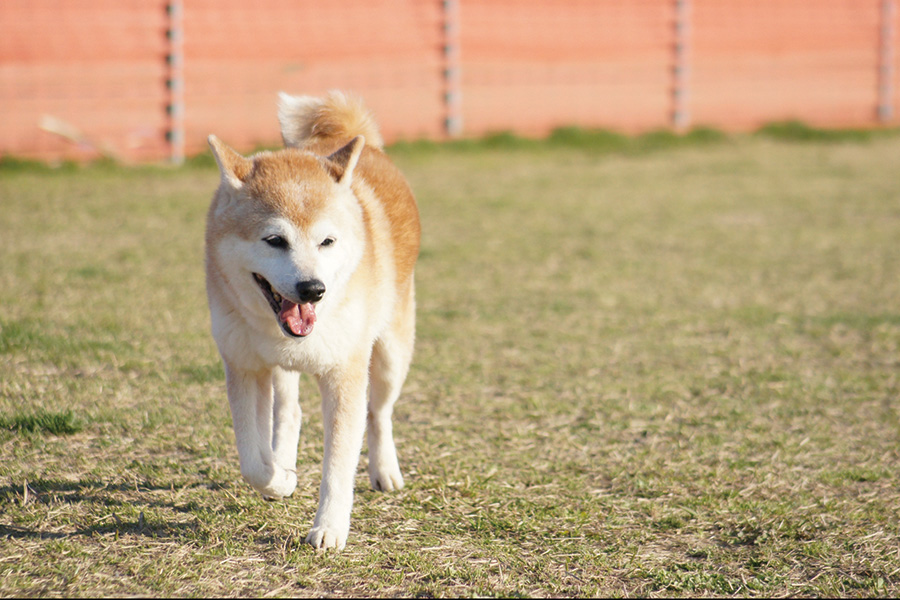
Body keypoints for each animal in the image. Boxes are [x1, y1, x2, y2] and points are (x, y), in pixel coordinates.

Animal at [207, 90, 422, 548]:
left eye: (327, 241)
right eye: (274, 240)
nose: (312, 289)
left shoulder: (344, 374)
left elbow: (338, 466)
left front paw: (329, 528)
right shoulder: (244, 366)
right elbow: (253, 461)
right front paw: (281, 479)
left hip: (391, 354)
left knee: (378, 413)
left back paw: (385, 470)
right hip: (279, 370)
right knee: (289, 413)